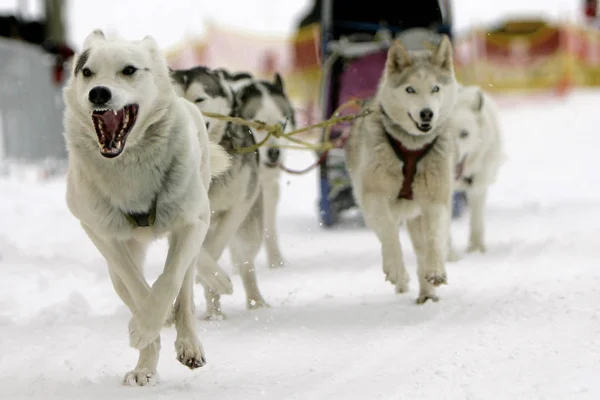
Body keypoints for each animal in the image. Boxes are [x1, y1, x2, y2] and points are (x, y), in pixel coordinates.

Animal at [62, 31, 233, 388]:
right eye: (87, 72)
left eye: (129, 70)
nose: (98, 92)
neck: (129, 168)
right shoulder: (103, 233)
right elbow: (137, 287)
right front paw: (146, 326)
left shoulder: (191, 223)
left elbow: (169, 281)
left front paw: (150, 322)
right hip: (117, 256)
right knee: (129, 288)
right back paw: (145, 367)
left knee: (186, 289)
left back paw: (188, 343)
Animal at [171, 66, 270, 322]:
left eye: (199, 99)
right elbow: (198, 254)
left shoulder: (239, 206)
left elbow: (215, 247)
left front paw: (213, 280)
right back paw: (212, 312)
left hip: (250, 230)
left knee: (246, 264)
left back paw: (255, 303)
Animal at [344, 36, 458, 304]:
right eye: (410, 89)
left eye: (435, 88)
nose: (427, 113)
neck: (411, 146)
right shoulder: (373, 197)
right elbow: (388, 233)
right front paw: (397, 270)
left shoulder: (435, 200)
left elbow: (434, 240)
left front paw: (435, 270)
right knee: (387, 235)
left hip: (419, 214)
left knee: (423, 249)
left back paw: (427, 292)